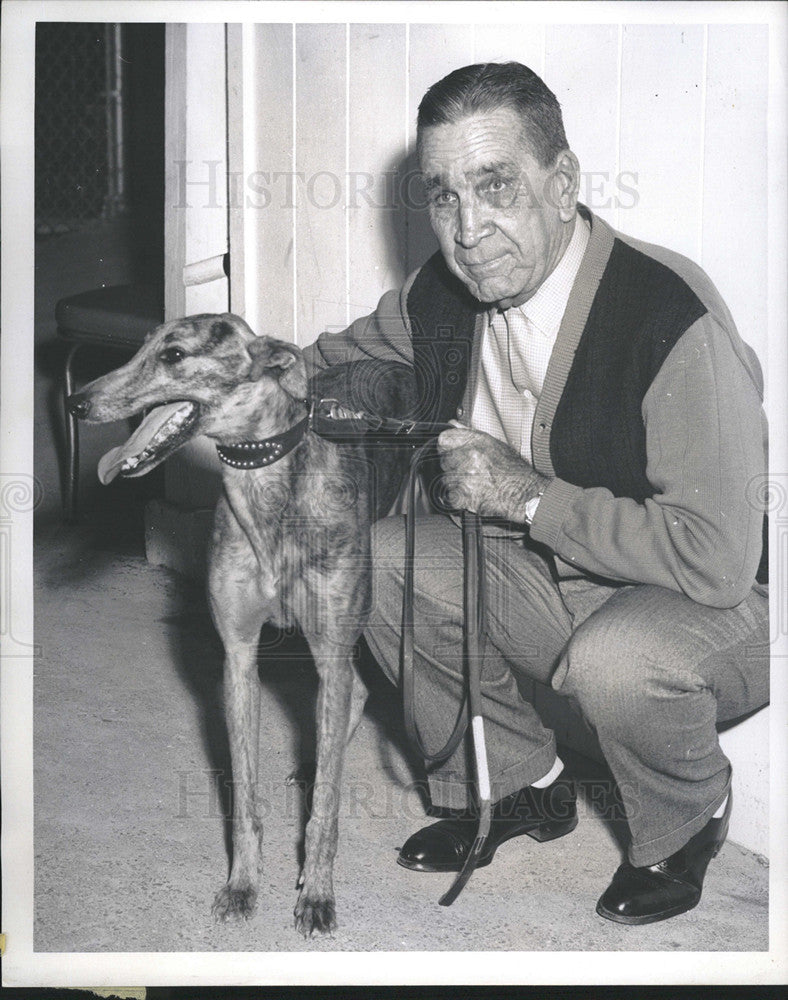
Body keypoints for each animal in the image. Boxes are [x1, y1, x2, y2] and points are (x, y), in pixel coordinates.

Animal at [68, 312, 416, 936]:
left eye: (174, 355)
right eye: (140, 347)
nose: (74, 403)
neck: (270, 495)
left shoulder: (330, 649)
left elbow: (327, 806)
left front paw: (317, 892)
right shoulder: (238, 657)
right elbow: (245, 794)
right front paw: (242, 884)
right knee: (351, 700)